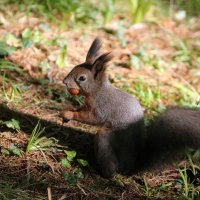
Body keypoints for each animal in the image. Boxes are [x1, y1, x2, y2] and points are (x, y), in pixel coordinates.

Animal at [61, 37, 200, 178]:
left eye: (82, 78)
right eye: (74, 67)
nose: (64, 81)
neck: (98, 90)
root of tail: (131, 166)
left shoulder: (101, 107)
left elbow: (91, 118)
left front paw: (68, 114)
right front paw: (67, 113)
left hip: (105, 138)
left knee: (110, 167)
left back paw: (100, 171)